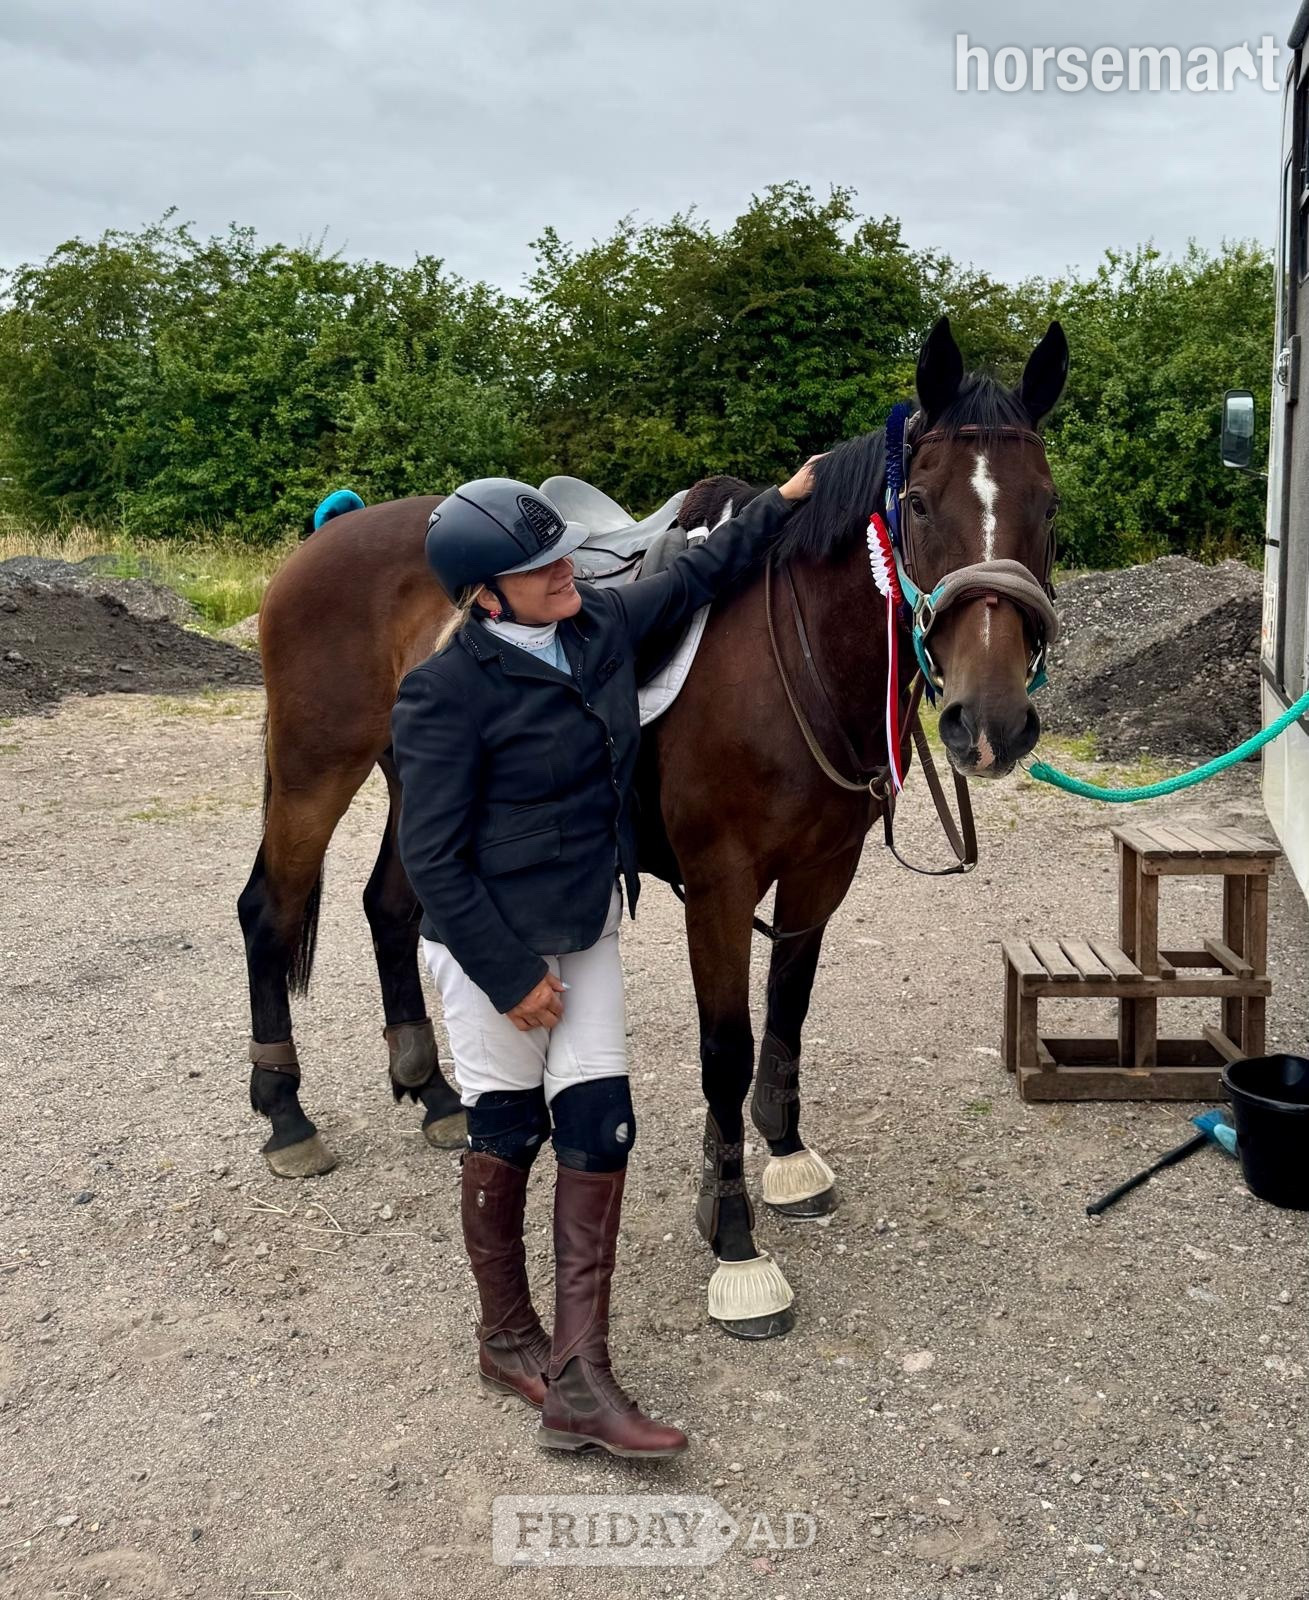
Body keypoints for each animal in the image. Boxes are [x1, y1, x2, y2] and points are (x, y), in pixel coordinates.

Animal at [238, 315, 1068, 1338]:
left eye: (1048, 506)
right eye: (916, 502)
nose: (988, 724)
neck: (791, 652)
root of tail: (327, 533)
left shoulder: (820, 873)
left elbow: (787, 1016)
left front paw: (785, 1158)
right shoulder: (718, 889)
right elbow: (726, 1050)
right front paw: (735, 1246)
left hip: (418, 784)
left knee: (391, 907)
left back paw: (432, 1093)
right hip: (315, 768)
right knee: (270, 911)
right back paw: (286, 1114)